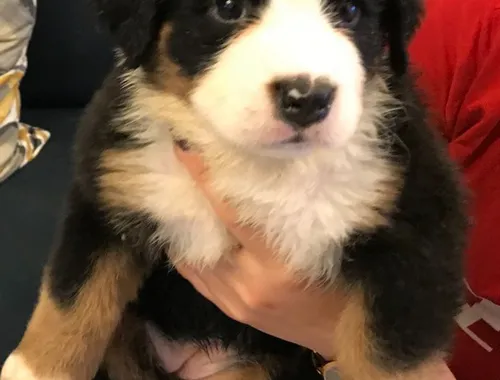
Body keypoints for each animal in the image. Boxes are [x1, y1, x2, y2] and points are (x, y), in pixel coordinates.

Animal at [0, 0, 468, 378]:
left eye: (350, 11)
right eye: (228, 7)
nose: (307, 98)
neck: (253, 163)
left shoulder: (416, 225)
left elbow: (391, 354)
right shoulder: (108, 190)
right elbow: (73, 299)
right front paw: (36, 369)